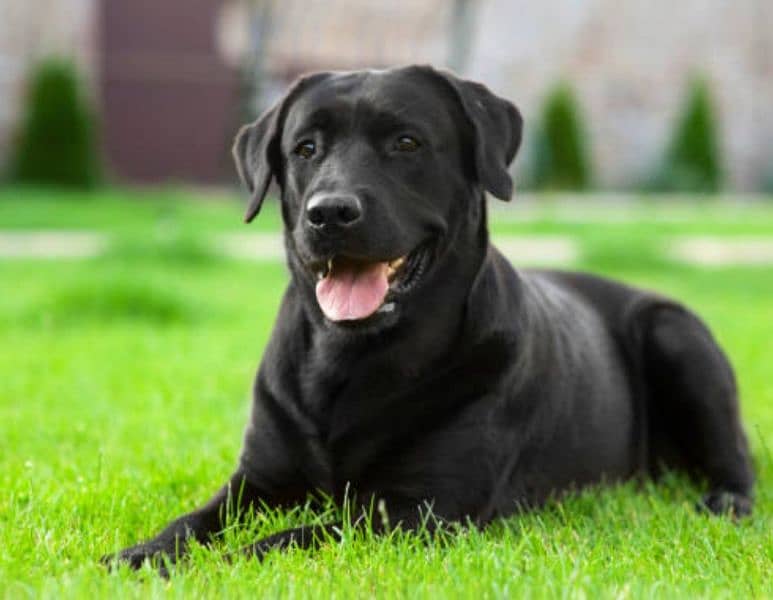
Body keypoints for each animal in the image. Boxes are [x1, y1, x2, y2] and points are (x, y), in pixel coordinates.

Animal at [105, 65, 752, 572]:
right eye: (305, 149)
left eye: (407, 143)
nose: (329, 212)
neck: (349, 359)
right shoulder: (258, 479)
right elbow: (193, 520)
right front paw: (142, 554)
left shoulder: (424, 507)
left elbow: (292, 537)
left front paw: (223, 565)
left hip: (677, 336)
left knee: (738, 459)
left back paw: (724, 503)